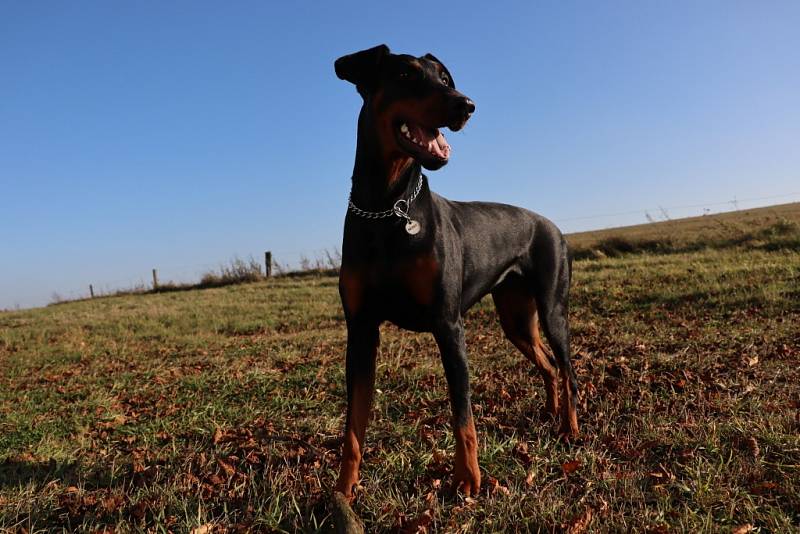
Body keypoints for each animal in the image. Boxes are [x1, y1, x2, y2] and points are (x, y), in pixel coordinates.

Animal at [334, 43, 580, 502]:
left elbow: (462, 413)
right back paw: (551, 414)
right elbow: (353, 427)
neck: (388, 208)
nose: (466, 105)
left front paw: (468, 479)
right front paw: (344, 489)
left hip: (552, 308)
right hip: (516, 318)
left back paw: (570, 428)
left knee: (569, 369)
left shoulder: (448, 324)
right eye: (406, 75)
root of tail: (553, 225)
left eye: (446, 79)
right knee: (549, 366)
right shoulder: (360, 330)